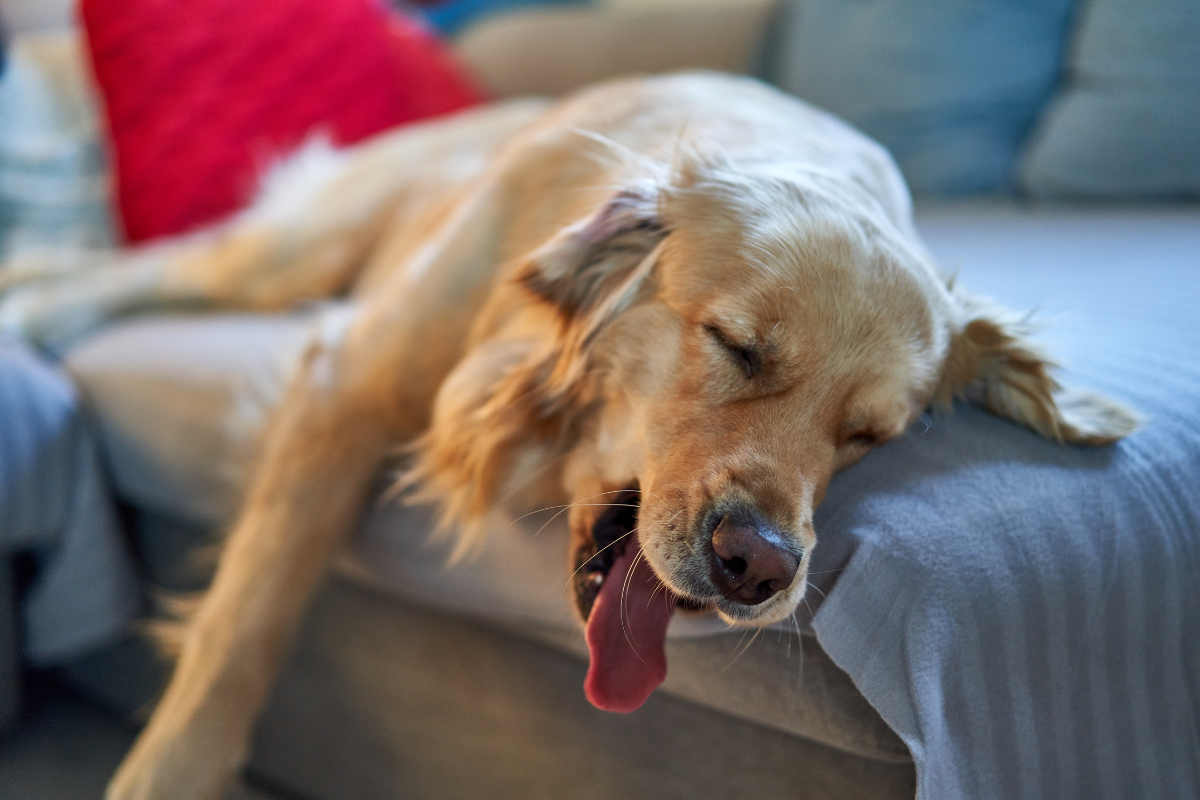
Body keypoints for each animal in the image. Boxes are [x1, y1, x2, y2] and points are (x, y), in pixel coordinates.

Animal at [0, 70, 1132, 800]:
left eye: (871, 434)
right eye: (736, 345)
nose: (759, 566)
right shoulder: (345, 384)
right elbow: (245, 629)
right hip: (293, 254)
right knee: (139, 269)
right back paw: (31, 309)